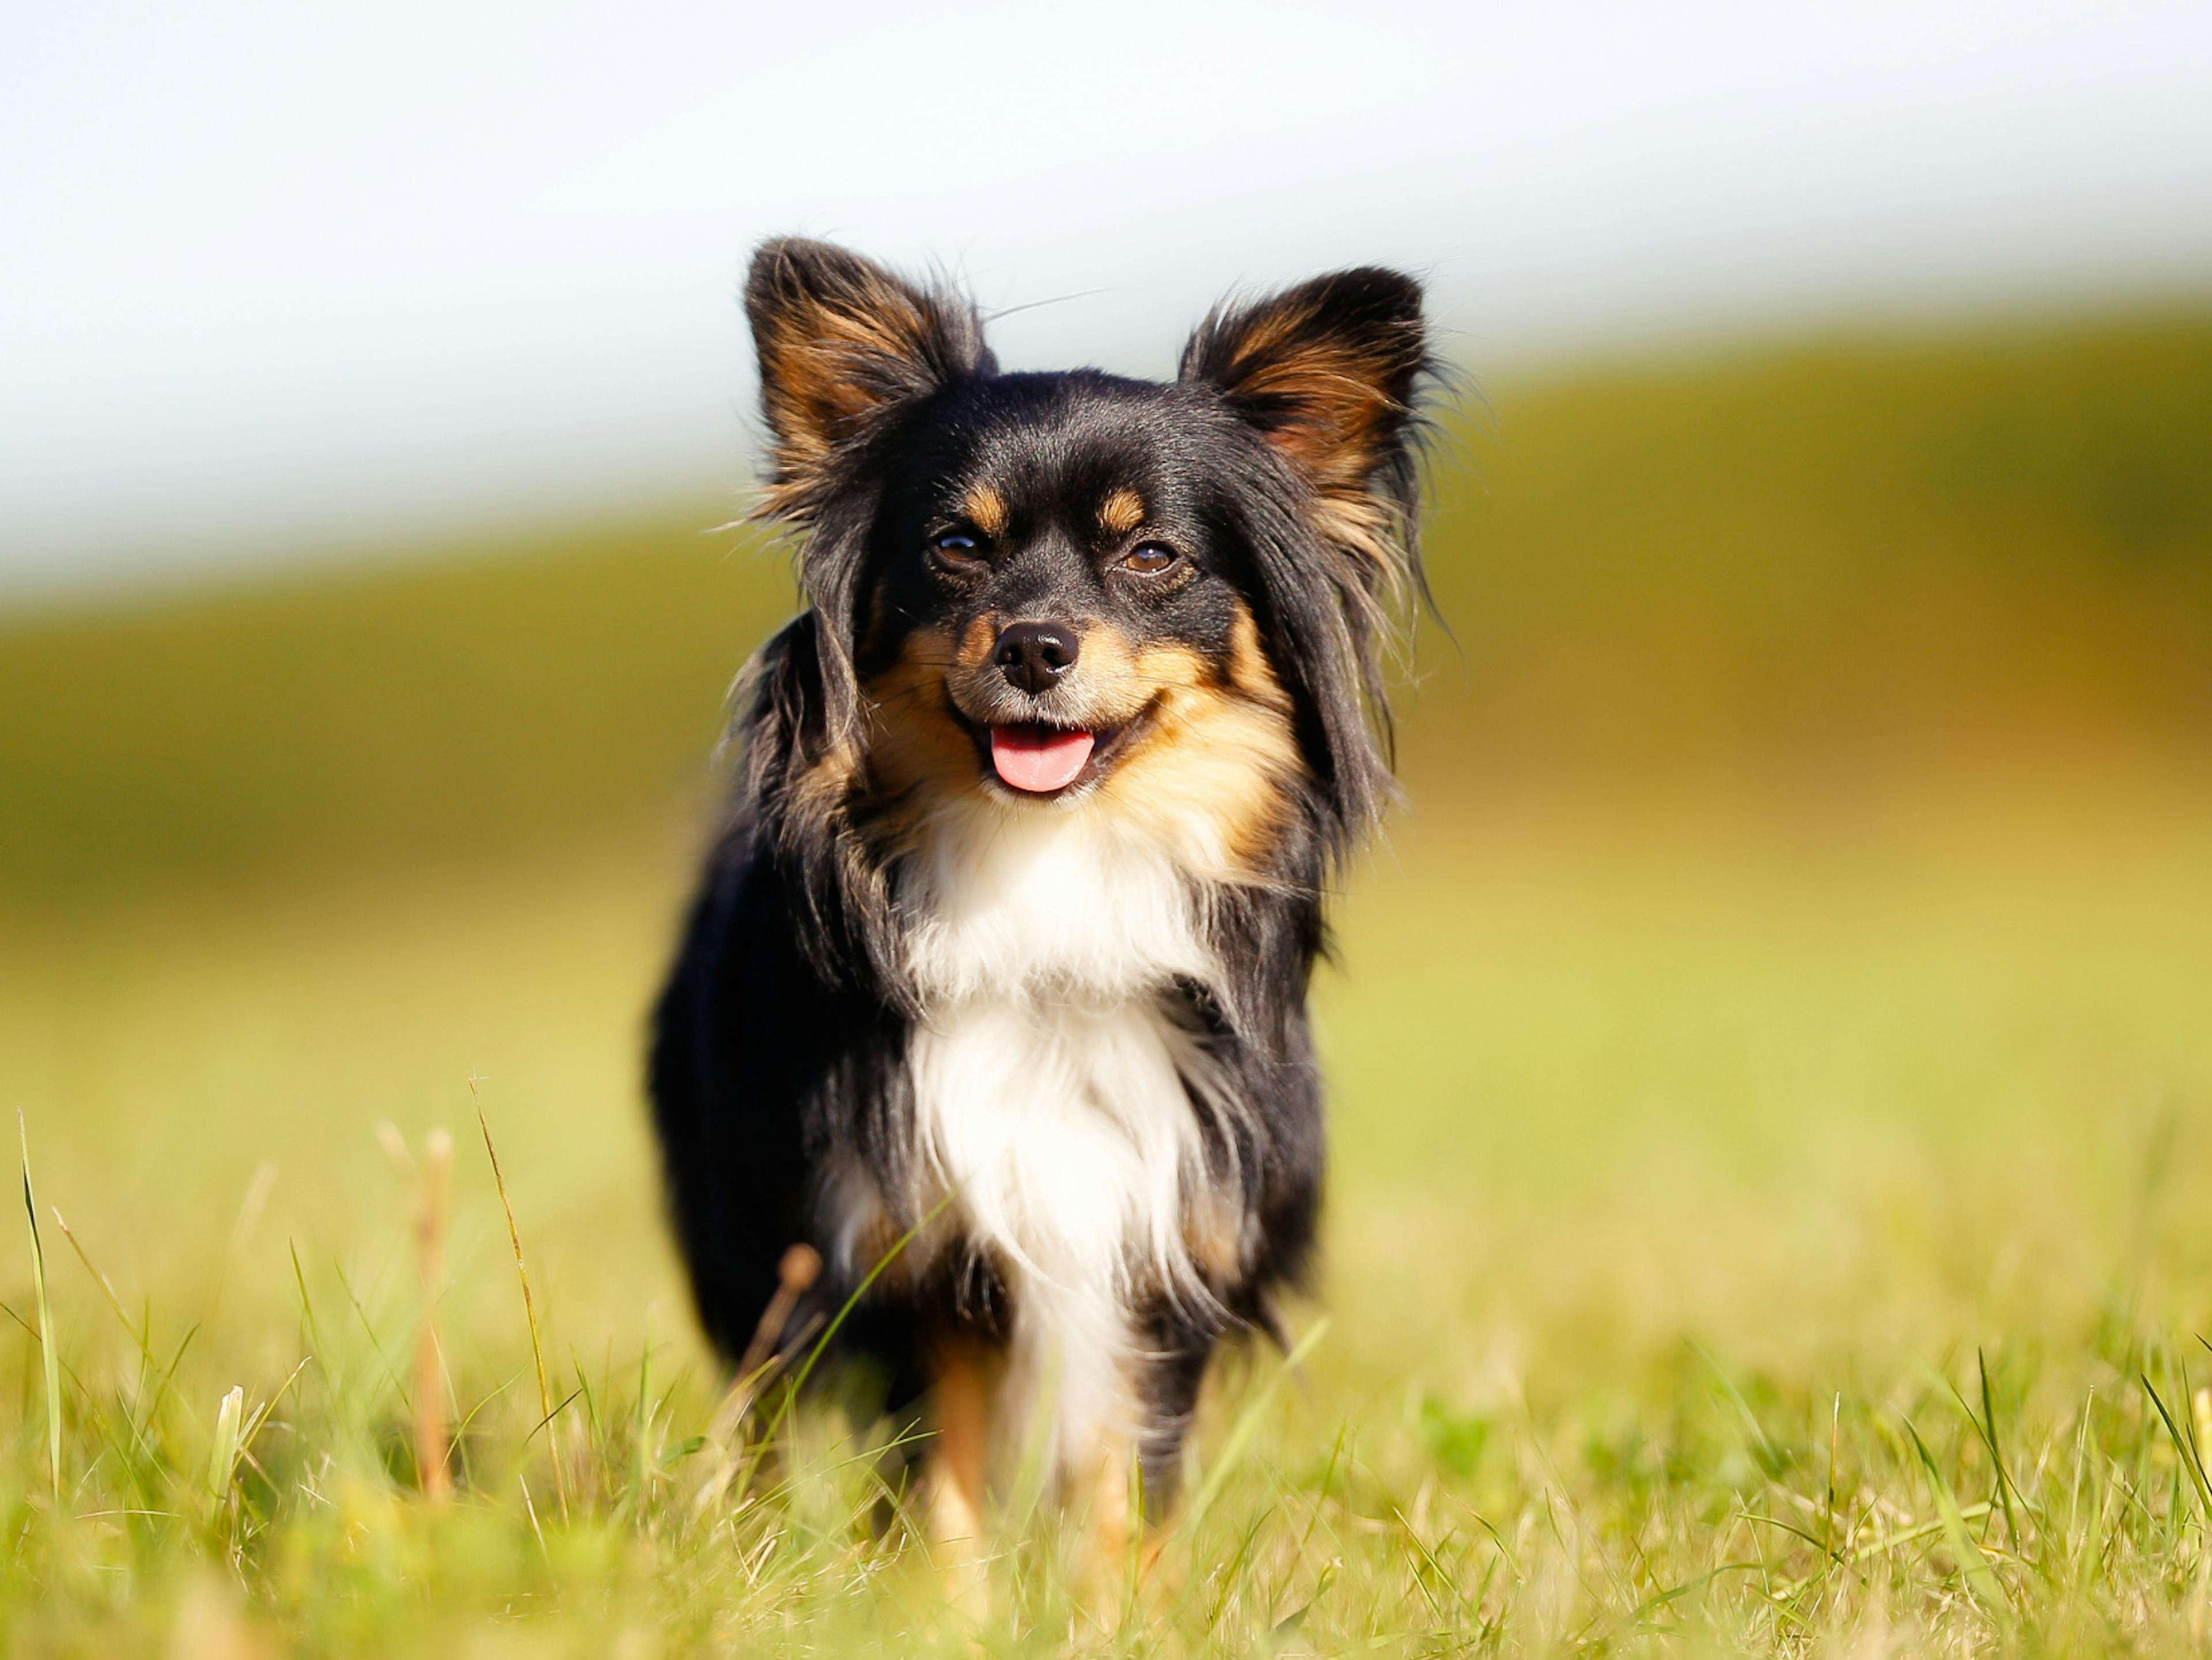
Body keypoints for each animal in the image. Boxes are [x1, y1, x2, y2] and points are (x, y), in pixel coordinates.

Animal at [646, 235, 1433, 1576]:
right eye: (957, 548)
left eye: (1152, 556)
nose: (1033, 646)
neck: (1056, 866)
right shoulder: (919, 1242)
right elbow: (946, 1487)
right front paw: (940, 1607)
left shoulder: (1152, 1242)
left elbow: (1116, 1485)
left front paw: (1117, 1609)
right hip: (749, 1249)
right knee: (760, 1411)